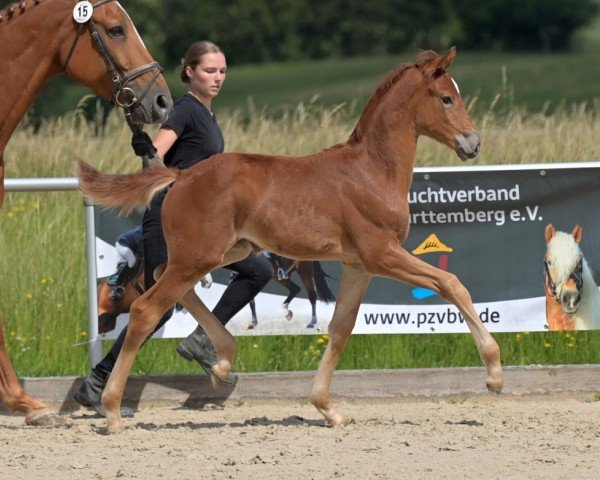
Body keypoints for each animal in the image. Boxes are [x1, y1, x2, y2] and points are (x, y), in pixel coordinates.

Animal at [77, 47, 504, 434]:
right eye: (447, 98)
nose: (474, 143)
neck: (371, 171)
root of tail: (181, 176)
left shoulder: (357, 264)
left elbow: (340, 328)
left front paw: (327, 409)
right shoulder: (382, 254)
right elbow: (451, 284)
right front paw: (494, 374)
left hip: (219, 252)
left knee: (166, 283)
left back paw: (222, 361)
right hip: (198, 257)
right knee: (146, 309)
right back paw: (112, 410)